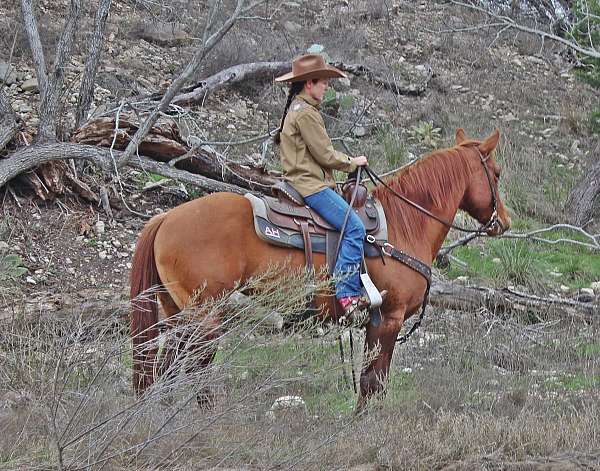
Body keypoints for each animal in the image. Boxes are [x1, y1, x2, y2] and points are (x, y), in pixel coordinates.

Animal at [130, 129, 510, 410]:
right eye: (496, 173)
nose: (503, 222)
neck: (406, 224)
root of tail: (166, 218)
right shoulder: (389, 317)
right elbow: (374, 382)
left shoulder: (375, 323)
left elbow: (371, 382)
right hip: (205, 318)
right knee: (194, 372)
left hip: (178, 313)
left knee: (164, 369)